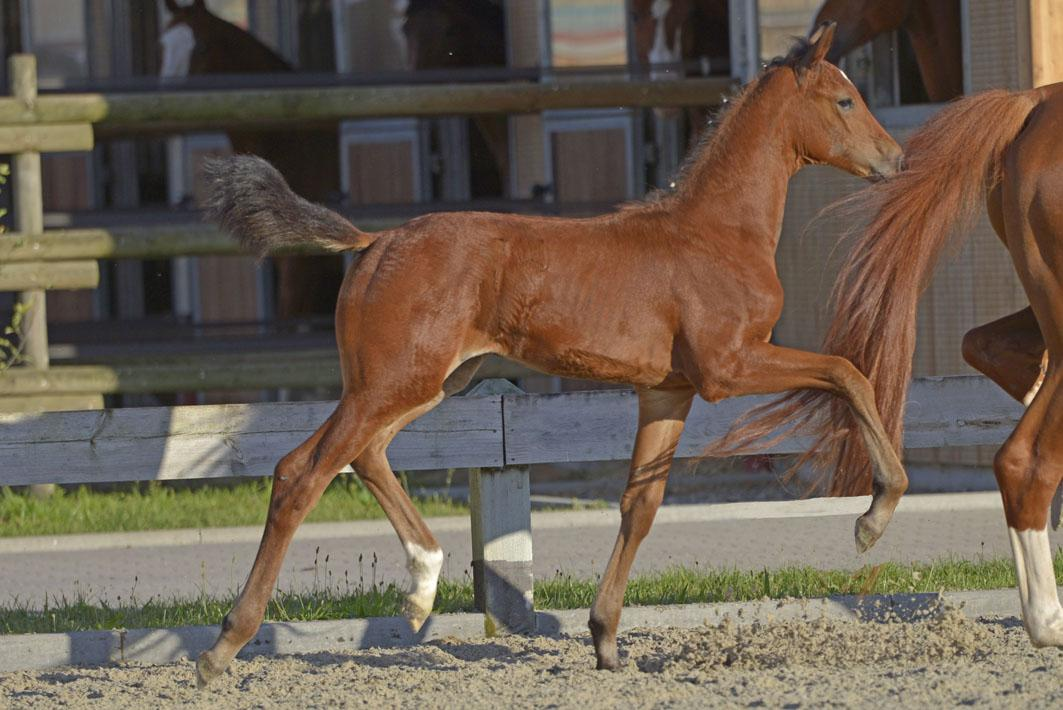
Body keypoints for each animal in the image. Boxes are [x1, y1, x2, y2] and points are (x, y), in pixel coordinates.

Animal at [193, 24, 905, 684]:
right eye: (845, 99)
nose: (895, 159)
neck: (717, 233)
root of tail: (373, 243)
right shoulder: (727, 368)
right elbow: (847, 372)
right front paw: (875, 514)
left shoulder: (668, 390)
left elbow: (640, 505)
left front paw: (606, 642)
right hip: (394, 381)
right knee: (301, 472)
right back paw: (224, 646)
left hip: (427, 382)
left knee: (364, 455)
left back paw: (421, 589)